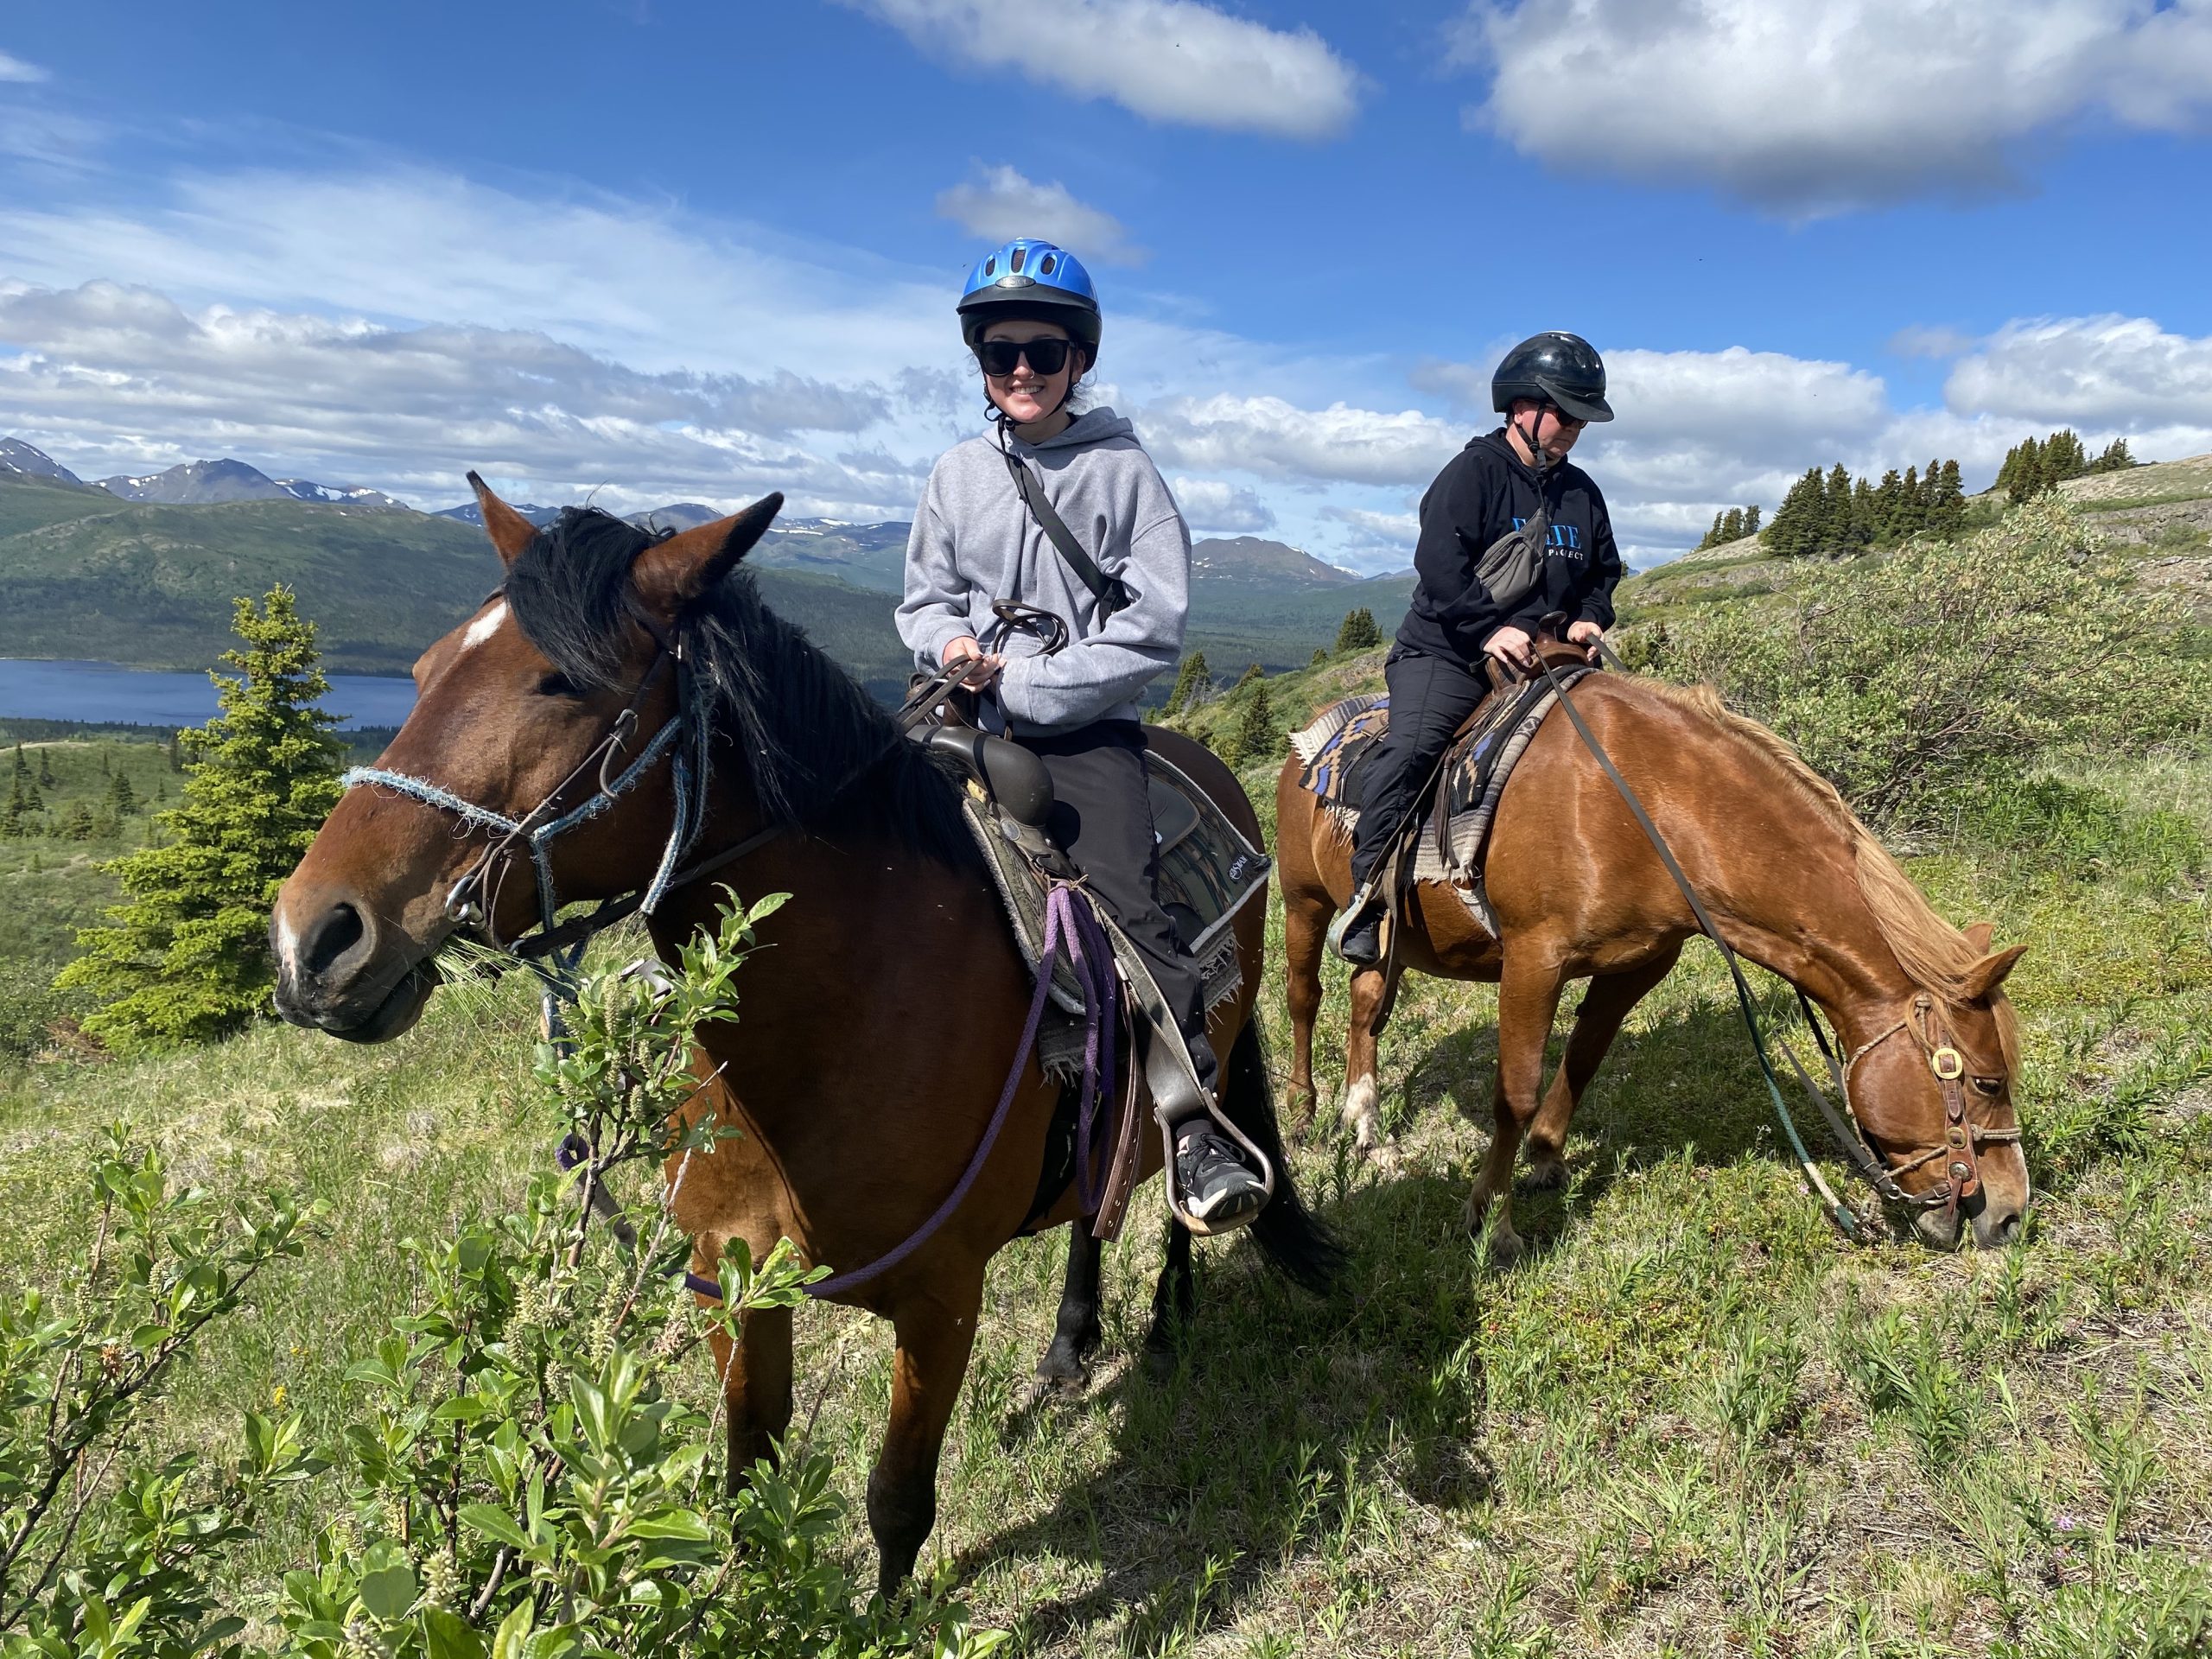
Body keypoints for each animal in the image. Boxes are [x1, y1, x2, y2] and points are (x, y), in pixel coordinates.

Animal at [263, 484, 1327, 1601]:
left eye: (563, 684)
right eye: (423, 671)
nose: (312, 941)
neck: (834, 1026)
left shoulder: (943, 1298)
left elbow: (898, 1500)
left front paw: (888, 1618)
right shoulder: (733, 1282)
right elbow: (742, 1486)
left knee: (1175, 1169)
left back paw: (1167, 1317)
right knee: (1097, 1193)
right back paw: (1069, 1350)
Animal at [1274, 664, 2025, 1256]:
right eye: (1987, 1081)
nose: (2011, 1216)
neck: (1647, 810)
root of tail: (1308, 740)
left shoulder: (1637, 964)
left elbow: (1584, 1057)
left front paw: (1547, 1158)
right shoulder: (1533, 960)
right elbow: (1514, 1093)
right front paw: (1493, 1219)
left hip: (1389, 934)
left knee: (1366, 1001)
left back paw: (1363, 1118)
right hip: (1303, 903)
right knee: (1305, 997)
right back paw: (1305, 1111)